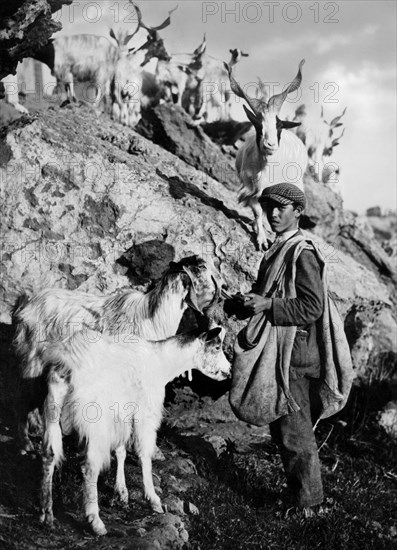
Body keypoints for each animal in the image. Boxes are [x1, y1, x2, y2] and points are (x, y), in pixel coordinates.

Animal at [38, 326, 230, 536]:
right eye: (217, 347)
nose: (228, 371)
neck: (161, 362)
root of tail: (66, 364)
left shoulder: (122, 415)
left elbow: (121, 451)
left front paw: (121, 493)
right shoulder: (145, 413)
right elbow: (144, 453)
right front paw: (153, 500)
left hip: (52, 408)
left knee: (49, 455)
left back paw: (47, 515)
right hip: (95, 422)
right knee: (89, 466)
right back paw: (95, 521)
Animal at [224, 60, 308, 250]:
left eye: (279, 125)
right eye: (257, 125)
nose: (270, 145)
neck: (266, 168)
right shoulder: (251, 189)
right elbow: (257, 211)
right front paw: (261, 239)